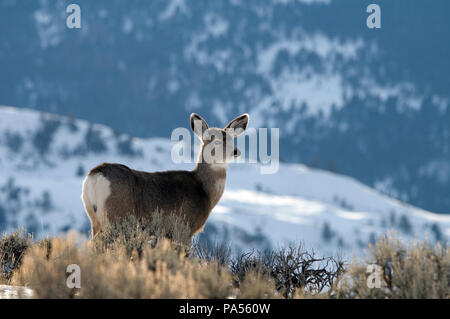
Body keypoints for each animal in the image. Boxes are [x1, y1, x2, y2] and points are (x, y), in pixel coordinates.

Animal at [81, 112, 250, 240]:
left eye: (232, 139)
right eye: (215, 141)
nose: (236, 151)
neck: (204, 191)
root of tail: (96, 175)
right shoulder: (183, 228)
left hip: (93, 217)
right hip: (117, 216)